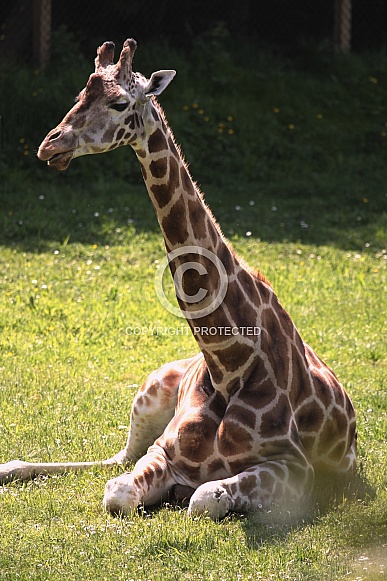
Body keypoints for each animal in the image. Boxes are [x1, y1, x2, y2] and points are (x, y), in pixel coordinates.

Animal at [0, 40, 358, 520]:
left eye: (119, 102)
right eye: (80, 94)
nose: (48, 145)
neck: (228, 366)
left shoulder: (294, 469)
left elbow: (204, 498)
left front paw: (186, 495)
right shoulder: (164, 450)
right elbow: (117, 492)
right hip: (148, 392)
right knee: (117, 458)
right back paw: (9, 467)